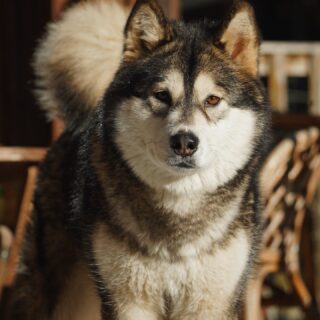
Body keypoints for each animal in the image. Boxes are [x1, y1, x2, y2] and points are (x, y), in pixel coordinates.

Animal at [7, 0, 270, 318]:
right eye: (162, 95)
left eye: (212, 100)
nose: (184, 142)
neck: (178, 212)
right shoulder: (129, 301)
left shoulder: (210, 303)